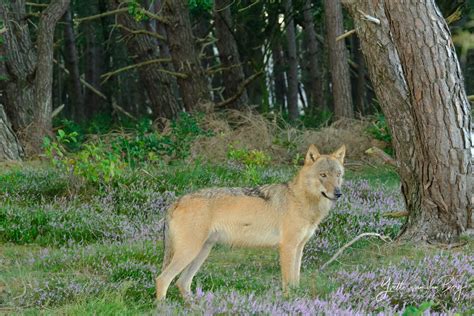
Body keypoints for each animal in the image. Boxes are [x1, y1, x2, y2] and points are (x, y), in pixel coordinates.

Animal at [155, 144, 344, 300]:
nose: (338, 193)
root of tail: (176, 201)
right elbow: (288, 283)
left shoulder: (299, 248)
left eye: (338, 175)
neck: (300, 199)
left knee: (182, 282)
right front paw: (289, 302)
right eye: (323, 175)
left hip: (201, 253)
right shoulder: (287, 247)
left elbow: (295, 281)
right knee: (162, 279)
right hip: (190, 252)